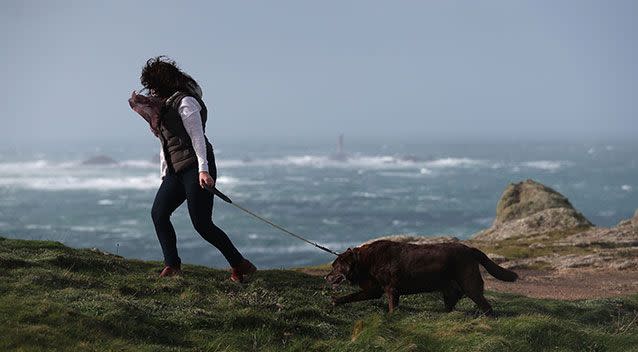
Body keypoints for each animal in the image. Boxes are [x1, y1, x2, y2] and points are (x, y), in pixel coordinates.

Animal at [324, 241, 520, 314]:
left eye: (334, 267)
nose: (326, 277)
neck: (364, 261)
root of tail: (471, 249)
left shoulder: (390, 289)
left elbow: (391, 307)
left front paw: (391, 317)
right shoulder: (375, 290)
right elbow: (351, 296)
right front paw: (335, 301)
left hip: (470, 283)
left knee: (486, 306)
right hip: (450, 285)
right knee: (454, 296)